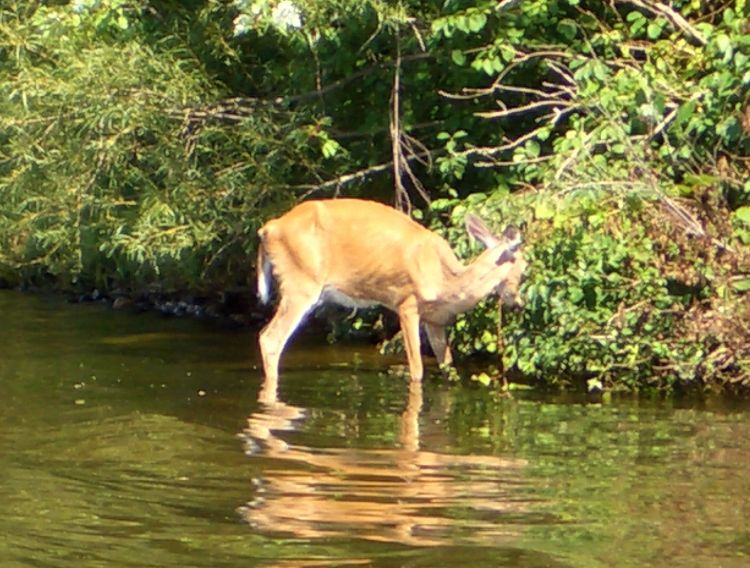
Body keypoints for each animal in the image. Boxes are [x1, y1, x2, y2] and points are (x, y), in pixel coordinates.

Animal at [258, 197, 528, 388]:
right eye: (525, 268)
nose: (519, 303)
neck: (446, 283)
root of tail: (268, 229)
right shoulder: (406, 303)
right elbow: (417, 369)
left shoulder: (436, 320)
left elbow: (448, 366)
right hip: (301, 284)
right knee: (270, 339)